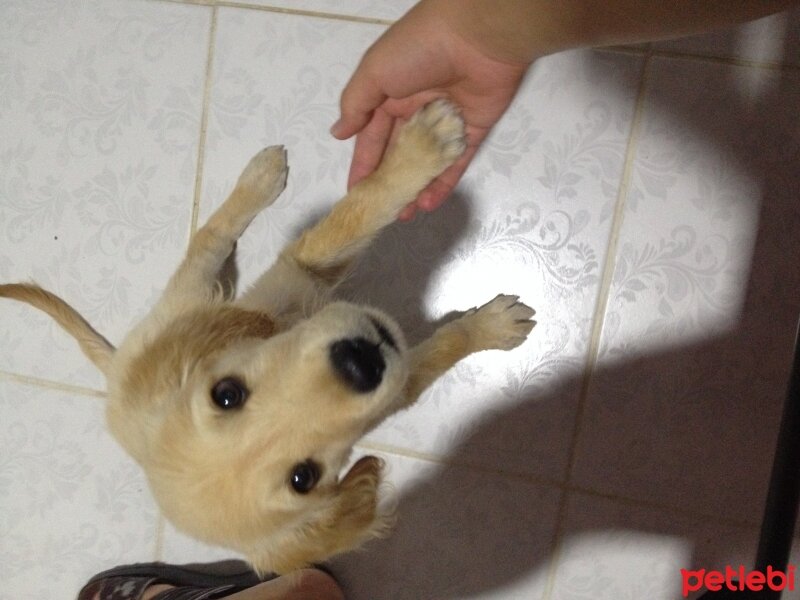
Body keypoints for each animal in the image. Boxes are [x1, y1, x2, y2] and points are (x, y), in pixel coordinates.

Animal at [3, 101, 536, 576]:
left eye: (227, 394)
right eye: (304, 478)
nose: (361, 361)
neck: (285, 324)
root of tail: (115, 371)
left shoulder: (300, 271)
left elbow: (357, 208)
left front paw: (414, 153)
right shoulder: (396, 386)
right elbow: (426, 333)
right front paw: (492, 326)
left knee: (210, 235)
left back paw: (260, 175)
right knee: (209, 240)